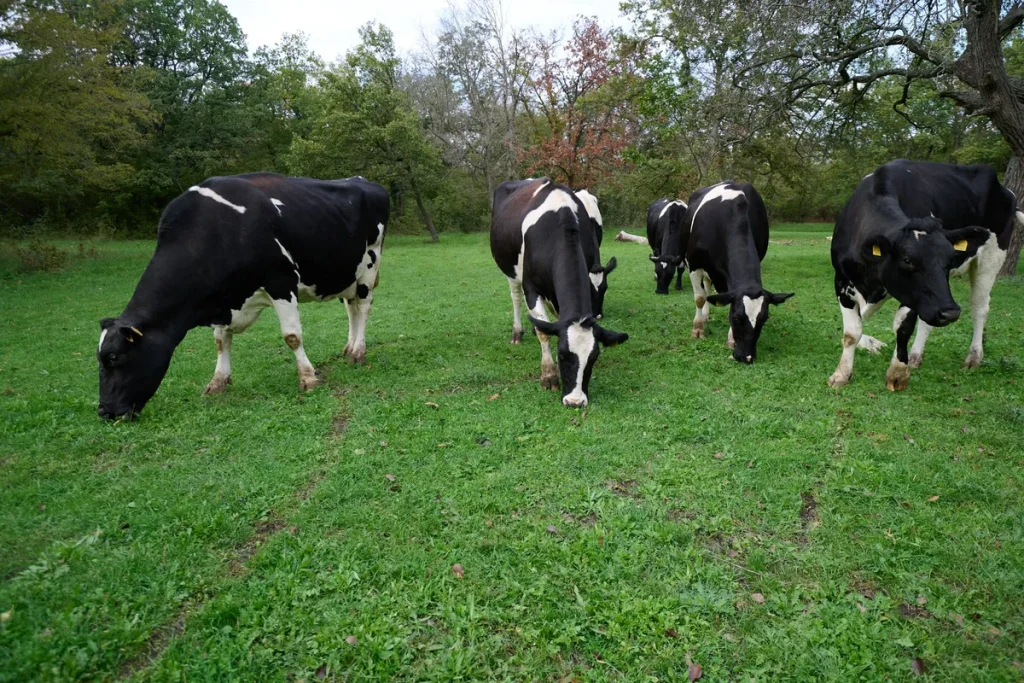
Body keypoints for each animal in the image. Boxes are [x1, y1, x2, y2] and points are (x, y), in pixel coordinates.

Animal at [97, 173, 389, 419]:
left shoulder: (281, 282)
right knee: (351, 307)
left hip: (368, 267)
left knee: (363, 307)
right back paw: (349, 347)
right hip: (346, 274)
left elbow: (292, 337)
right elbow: (220, 341)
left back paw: (358, 352)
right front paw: (217, 382)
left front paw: (308, 378)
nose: (104, 411)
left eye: (113, 358)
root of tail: (362, 180)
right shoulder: (221, 300)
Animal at [490, 178, 629, 407]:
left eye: (593, 358)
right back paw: (517, 332)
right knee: (516, 298)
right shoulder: (531, 287)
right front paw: (549, 375)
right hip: (511, 270)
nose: (575, 401)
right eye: (562, 355)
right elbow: (544, 333)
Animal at [684, 181, 794, 363]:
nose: (746, 357)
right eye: (737, 318)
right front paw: (697, 330)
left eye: (764, 319)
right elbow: (699, 298)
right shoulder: (694, 263)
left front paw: (730, 339)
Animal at [827, 160, 1019, 391]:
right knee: (929, 320)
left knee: (979, 307)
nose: (950, 313)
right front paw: (841, 375)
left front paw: (898, 374)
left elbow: (902, 327)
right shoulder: (841, 281)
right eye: (907, 260)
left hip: (990, 260)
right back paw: (915, 357)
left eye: (950, 259)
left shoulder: (912, 295)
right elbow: (851, 333)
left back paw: (974, 357)